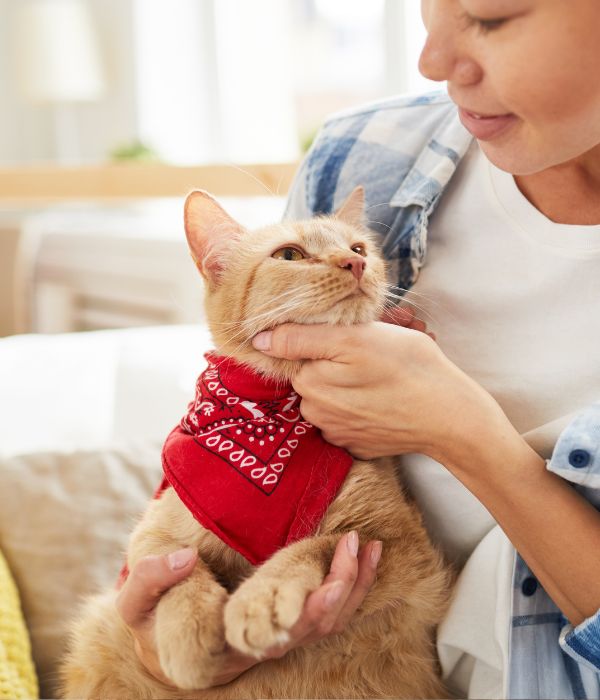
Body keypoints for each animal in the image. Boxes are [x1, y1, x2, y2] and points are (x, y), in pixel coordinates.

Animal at [62, 186, 450, 700]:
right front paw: (188, 631)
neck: (271, 414)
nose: (355, 264)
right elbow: (176, 568)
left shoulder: (404, 548)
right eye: (290, 255)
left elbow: (317, 545)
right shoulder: (154, 532)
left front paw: (264, 596)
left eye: (358, 248)